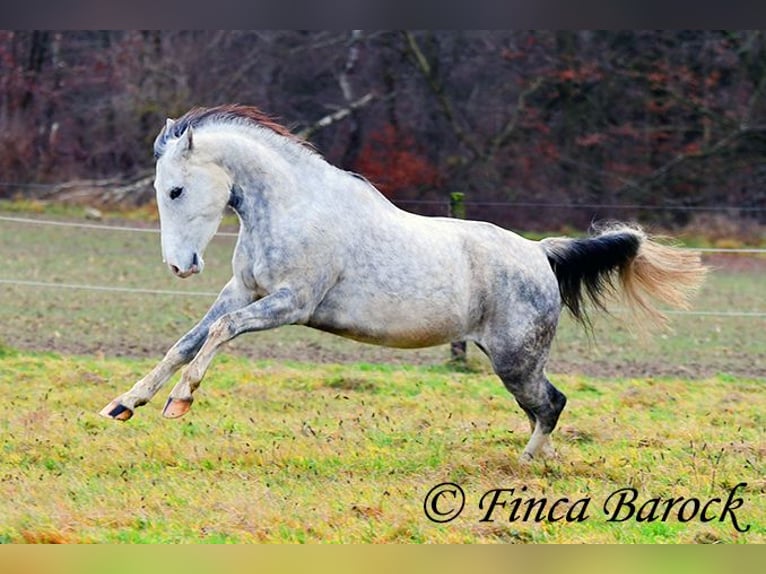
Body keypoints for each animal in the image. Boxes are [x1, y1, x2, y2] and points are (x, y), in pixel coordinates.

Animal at [100, 104, 708, 464]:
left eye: (176, 190)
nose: (180, 266)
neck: (295, 207)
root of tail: (539, 253)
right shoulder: (243, 291)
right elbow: (188, 341)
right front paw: (124, 404)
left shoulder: (290, 303)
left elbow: (221, 332)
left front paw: (179, 403)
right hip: (512, 360)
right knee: (545, 409)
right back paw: (541, 463)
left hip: (516, 360)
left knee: (551, 404)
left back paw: (524, 466)